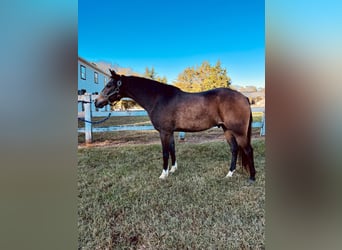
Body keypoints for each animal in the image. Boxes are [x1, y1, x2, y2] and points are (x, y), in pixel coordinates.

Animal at [95, 69, 255, 183]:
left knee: (248, 150)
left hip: (239, 132)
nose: (97, 102)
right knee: (234, 149)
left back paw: (252, 178)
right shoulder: (170, 132)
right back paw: (229, 174)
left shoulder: (164, 132)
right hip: (227, 130)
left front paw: (163, 175)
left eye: (109, 85)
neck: (158, 98)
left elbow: (165, 152)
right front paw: (173, 170)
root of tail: (244, 97)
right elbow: (172, 149)